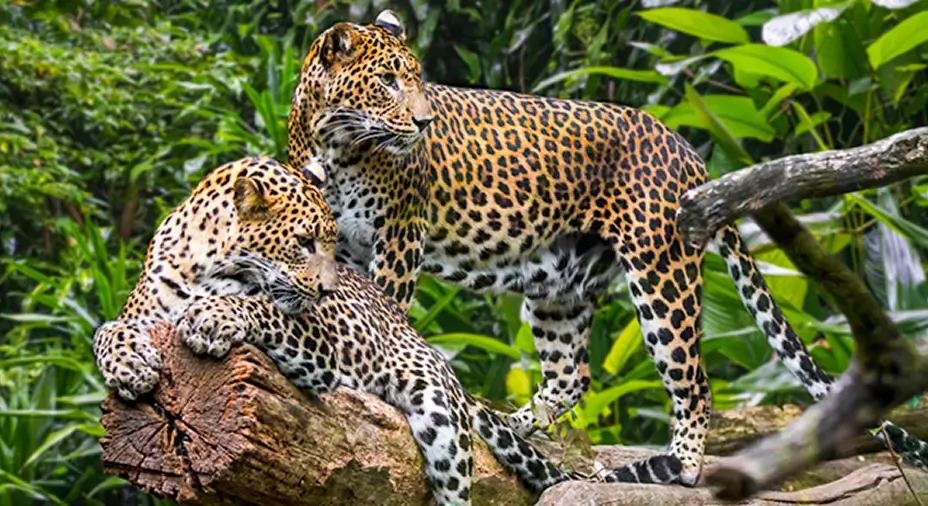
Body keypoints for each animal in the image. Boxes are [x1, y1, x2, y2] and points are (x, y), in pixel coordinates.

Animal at [92, 156, 591, 505]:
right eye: (303, 242)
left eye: (332, 244)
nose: (329, 289)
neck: (203, 264)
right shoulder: (142, 314)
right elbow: (106, 330)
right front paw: (129, 364)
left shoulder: (320, 344)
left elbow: (261, 306)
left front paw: (213, 317)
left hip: (439, 416)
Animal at [286, 9, 928, 486]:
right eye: (388, 82)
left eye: (417, 81)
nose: (422, 123)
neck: (332, 141)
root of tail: (686, 148)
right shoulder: (338, 243)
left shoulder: (398, 235)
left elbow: (386, 309)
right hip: (558, 283)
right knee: (573, 373)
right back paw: (516, 422)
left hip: (661, 270)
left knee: (692, 379)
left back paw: (682, 466)